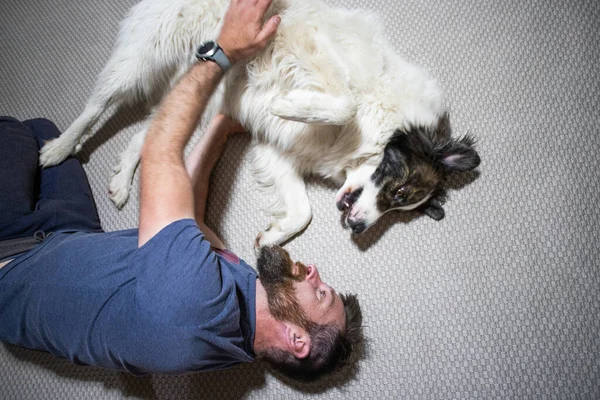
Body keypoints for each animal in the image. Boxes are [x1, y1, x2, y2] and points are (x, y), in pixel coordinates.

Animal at [37, 0, 480, 248]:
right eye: (400, 190)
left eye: (403, 207)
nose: (358, 228)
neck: (384, 123)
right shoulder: (311, 46)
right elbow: (343, 100)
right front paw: (289, 103)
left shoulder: (278, 152)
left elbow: (302, 212)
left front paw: (273, 236)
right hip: (143, 57)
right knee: (96, 106)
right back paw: (58, 148)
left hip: (200, 99)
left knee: (149, 135)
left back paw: (121, 181)